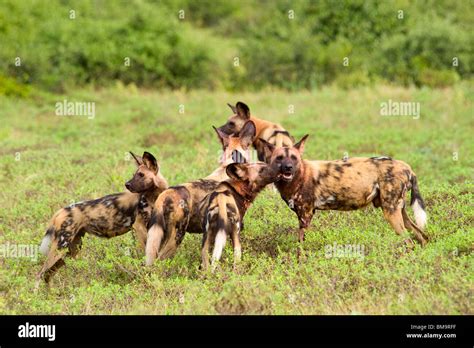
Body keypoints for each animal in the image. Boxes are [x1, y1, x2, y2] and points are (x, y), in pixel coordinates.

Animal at [36, 152, 168, 286]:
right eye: (134, 174)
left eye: (141, 175)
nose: (127, 184)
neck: (152, 196)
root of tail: (60, 211)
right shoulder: (139, 227)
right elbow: (147, 255)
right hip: (60, 247)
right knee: (40, 273)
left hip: (72, 248)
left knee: (48, 274)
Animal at [260, 136, 430, 247]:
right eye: (279, 158)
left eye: (294, 158)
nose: (288, 168)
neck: (299, 176)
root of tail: (408, 168)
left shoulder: (305, 215)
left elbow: (300, 246)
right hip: (398, 211)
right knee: (421, 236)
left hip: (391, 212)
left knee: (409, 242)